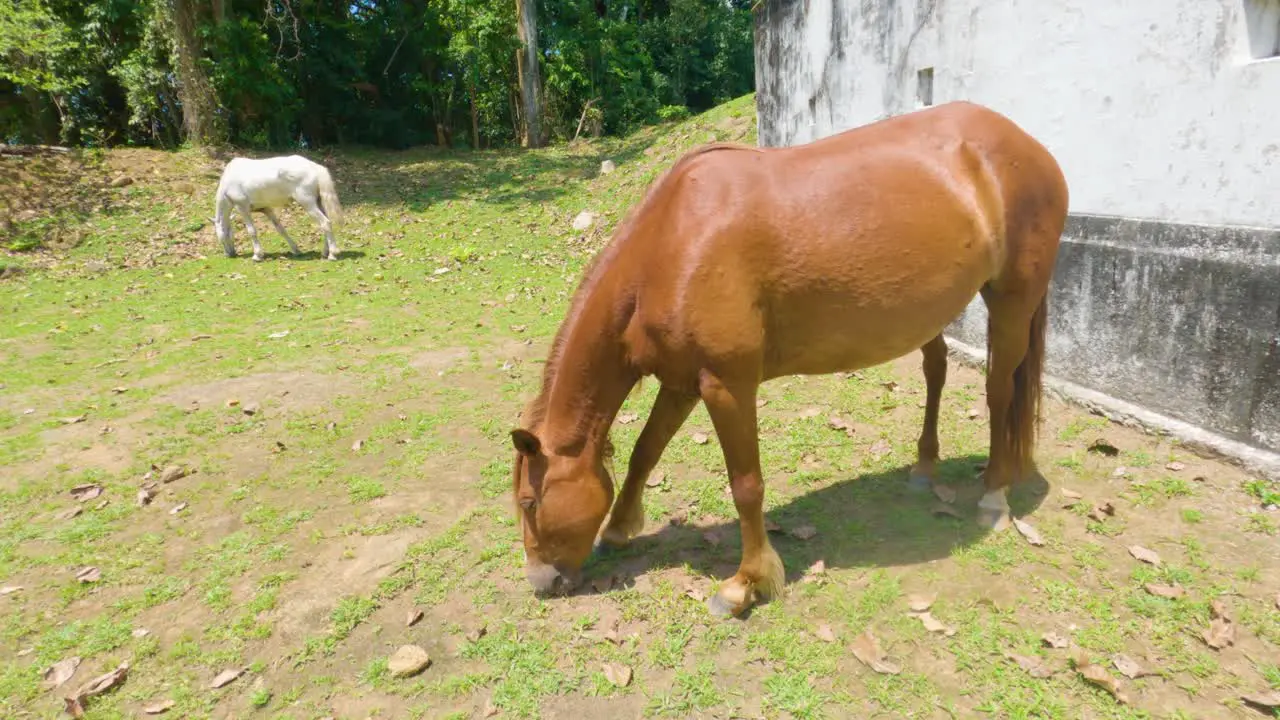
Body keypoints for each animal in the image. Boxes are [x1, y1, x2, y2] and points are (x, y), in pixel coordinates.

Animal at [215, 154, 345, 260]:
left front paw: (257, 255)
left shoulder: (243, 208)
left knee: (325, 223)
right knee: (325, 224)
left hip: (308, 204)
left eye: (221, 238)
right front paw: (296, 250)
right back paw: (325, 252)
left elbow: (251, 231)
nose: (229, 254)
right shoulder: (266, 209)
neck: (229, 181)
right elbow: (280, 229)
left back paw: (332, 254)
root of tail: (314, 167)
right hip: (318, 203)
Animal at [509, 102, 1070, 617]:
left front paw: (746, 583)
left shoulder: (727, 385)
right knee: (937, 370)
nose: (540, 582)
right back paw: (925, 467)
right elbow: (645, 451)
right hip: (934, 310)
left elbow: (746, 485)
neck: (672, 247)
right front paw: (620, 527)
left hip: (1011, 298)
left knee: (999, 392)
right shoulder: (682, 381)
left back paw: (994, 495)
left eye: (529, 502)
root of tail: (1029, 147)